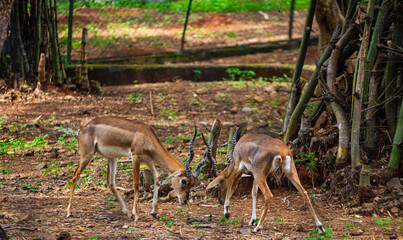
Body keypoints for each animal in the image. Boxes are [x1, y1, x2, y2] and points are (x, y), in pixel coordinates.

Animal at [67, 115, 205, 220]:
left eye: (193, 183)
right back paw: (69, 212)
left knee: (110, 182)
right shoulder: (136, 157)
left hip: (112, 157)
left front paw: (153, 211)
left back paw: (127, 212)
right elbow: (136, 183)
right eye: (184, 181)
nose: (185, 201)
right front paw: (137, 214)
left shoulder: (148, 160)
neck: (147, 136)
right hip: (87, 154)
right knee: (75, 175)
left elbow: (157, 177)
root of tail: (82, 129)